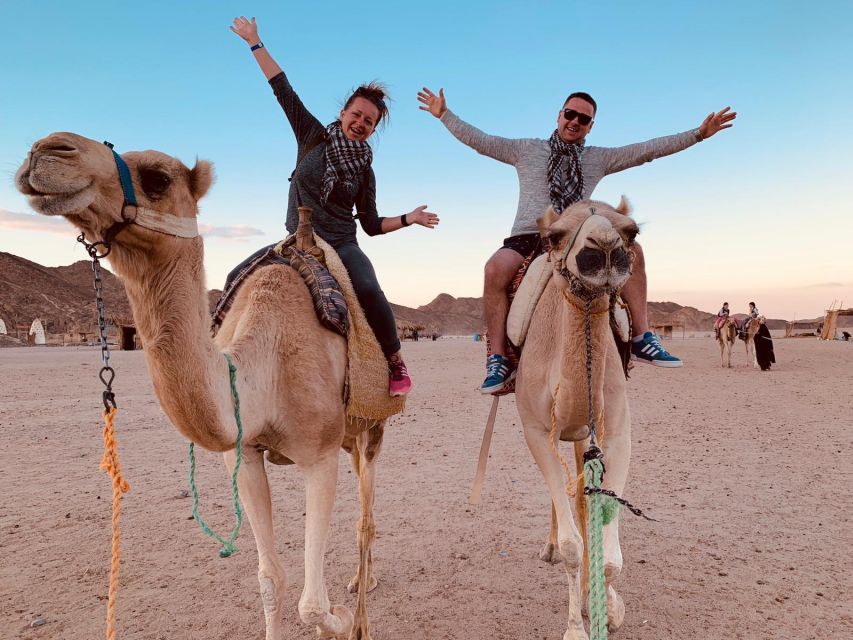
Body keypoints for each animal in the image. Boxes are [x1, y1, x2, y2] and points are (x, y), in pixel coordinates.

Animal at [16, 132, 384, 640]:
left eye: (157, 178)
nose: (46, 150)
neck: (264, 364)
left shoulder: (318, 453)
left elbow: (312, 604)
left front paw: (344, 620)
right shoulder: (244, 453)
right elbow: (271, 579)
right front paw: (327, 613)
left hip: (371, 428)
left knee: (366, 517)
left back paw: (362, 599)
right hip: (348, 437)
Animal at [516, 199, 638, 640]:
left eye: (631, 231)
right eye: (554, 237)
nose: (604, 250)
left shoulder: (616, 434)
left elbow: (610, 555)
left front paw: (608, 607)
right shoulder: (537, 430)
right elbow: (573, 546)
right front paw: (575, 627)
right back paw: (550, 547)